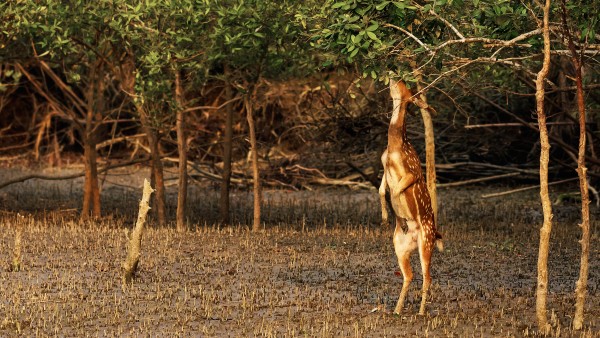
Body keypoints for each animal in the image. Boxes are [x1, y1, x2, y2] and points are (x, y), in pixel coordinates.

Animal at [380, 78, 440, 314]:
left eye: (403, 84)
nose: (393, 77)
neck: (394, 147)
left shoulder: (413, 172)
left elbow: (396, 192)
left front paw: (397, 213)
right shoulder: (383, 164)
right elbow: (382, 190)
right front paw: (386, 217)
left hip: (426, 241)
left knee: (427, 276)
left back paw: (421, 311)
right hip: (399, 246)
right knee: (410, 274)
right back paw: (397, 309)